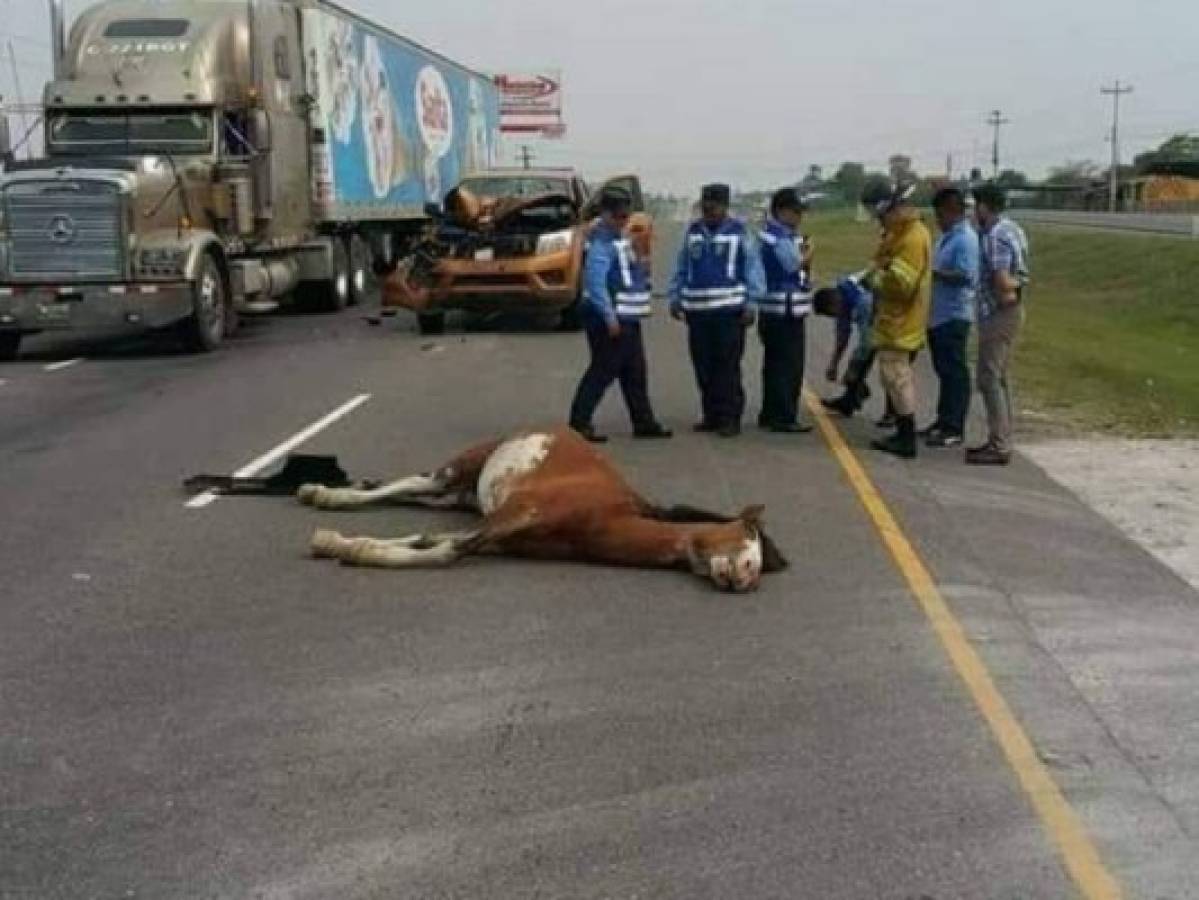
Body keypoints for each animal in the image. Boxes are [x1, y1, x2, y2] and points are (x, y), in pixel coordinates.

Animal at [298, 426, 786, 594]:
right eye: (747, 535)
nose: (744, 577)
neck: (603, 517)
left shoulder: (504, 534)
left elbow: (434, 540)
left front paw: (339, 544)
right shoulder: (517, 513)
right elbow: (445, 551)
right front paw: (351, 548)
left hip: (465, 497)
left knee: (414, 496)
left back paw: (333, 493)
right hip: (461, 470)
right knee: (419, 481)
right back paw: (325, 494)